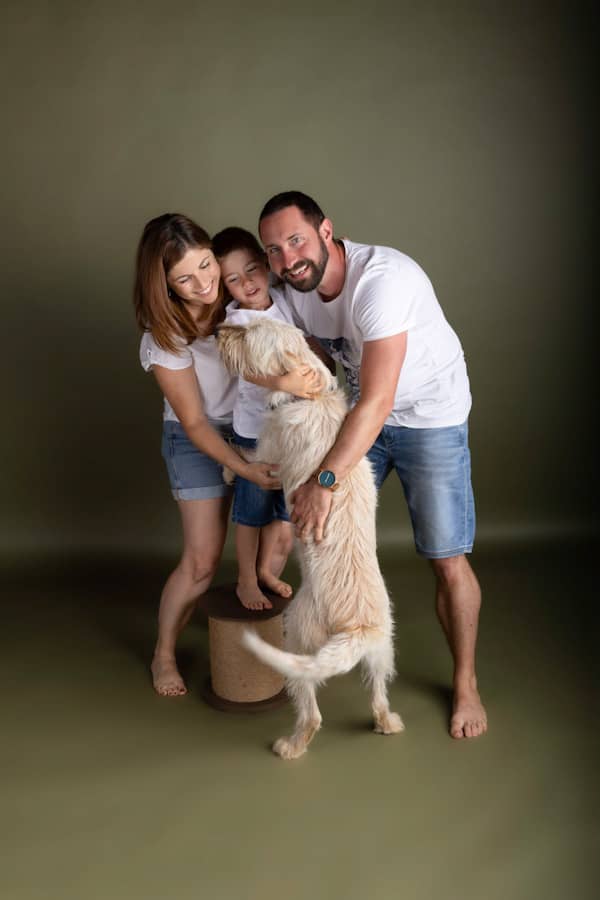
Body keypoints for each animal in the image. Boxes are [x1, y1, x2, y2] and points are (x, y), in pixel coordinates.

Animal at [216, 320, 404, 756]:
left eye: (249, 333)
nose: (218, 332)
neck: (311, 395)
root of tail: (356, 629)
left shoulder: (268, 457)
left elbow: (247, 457)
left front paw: (229, 467)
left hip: (299, 638)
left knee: (311, 710)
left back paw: (291, 745)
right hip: (382, 650)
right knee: (378, 693)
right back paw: (387, 722)